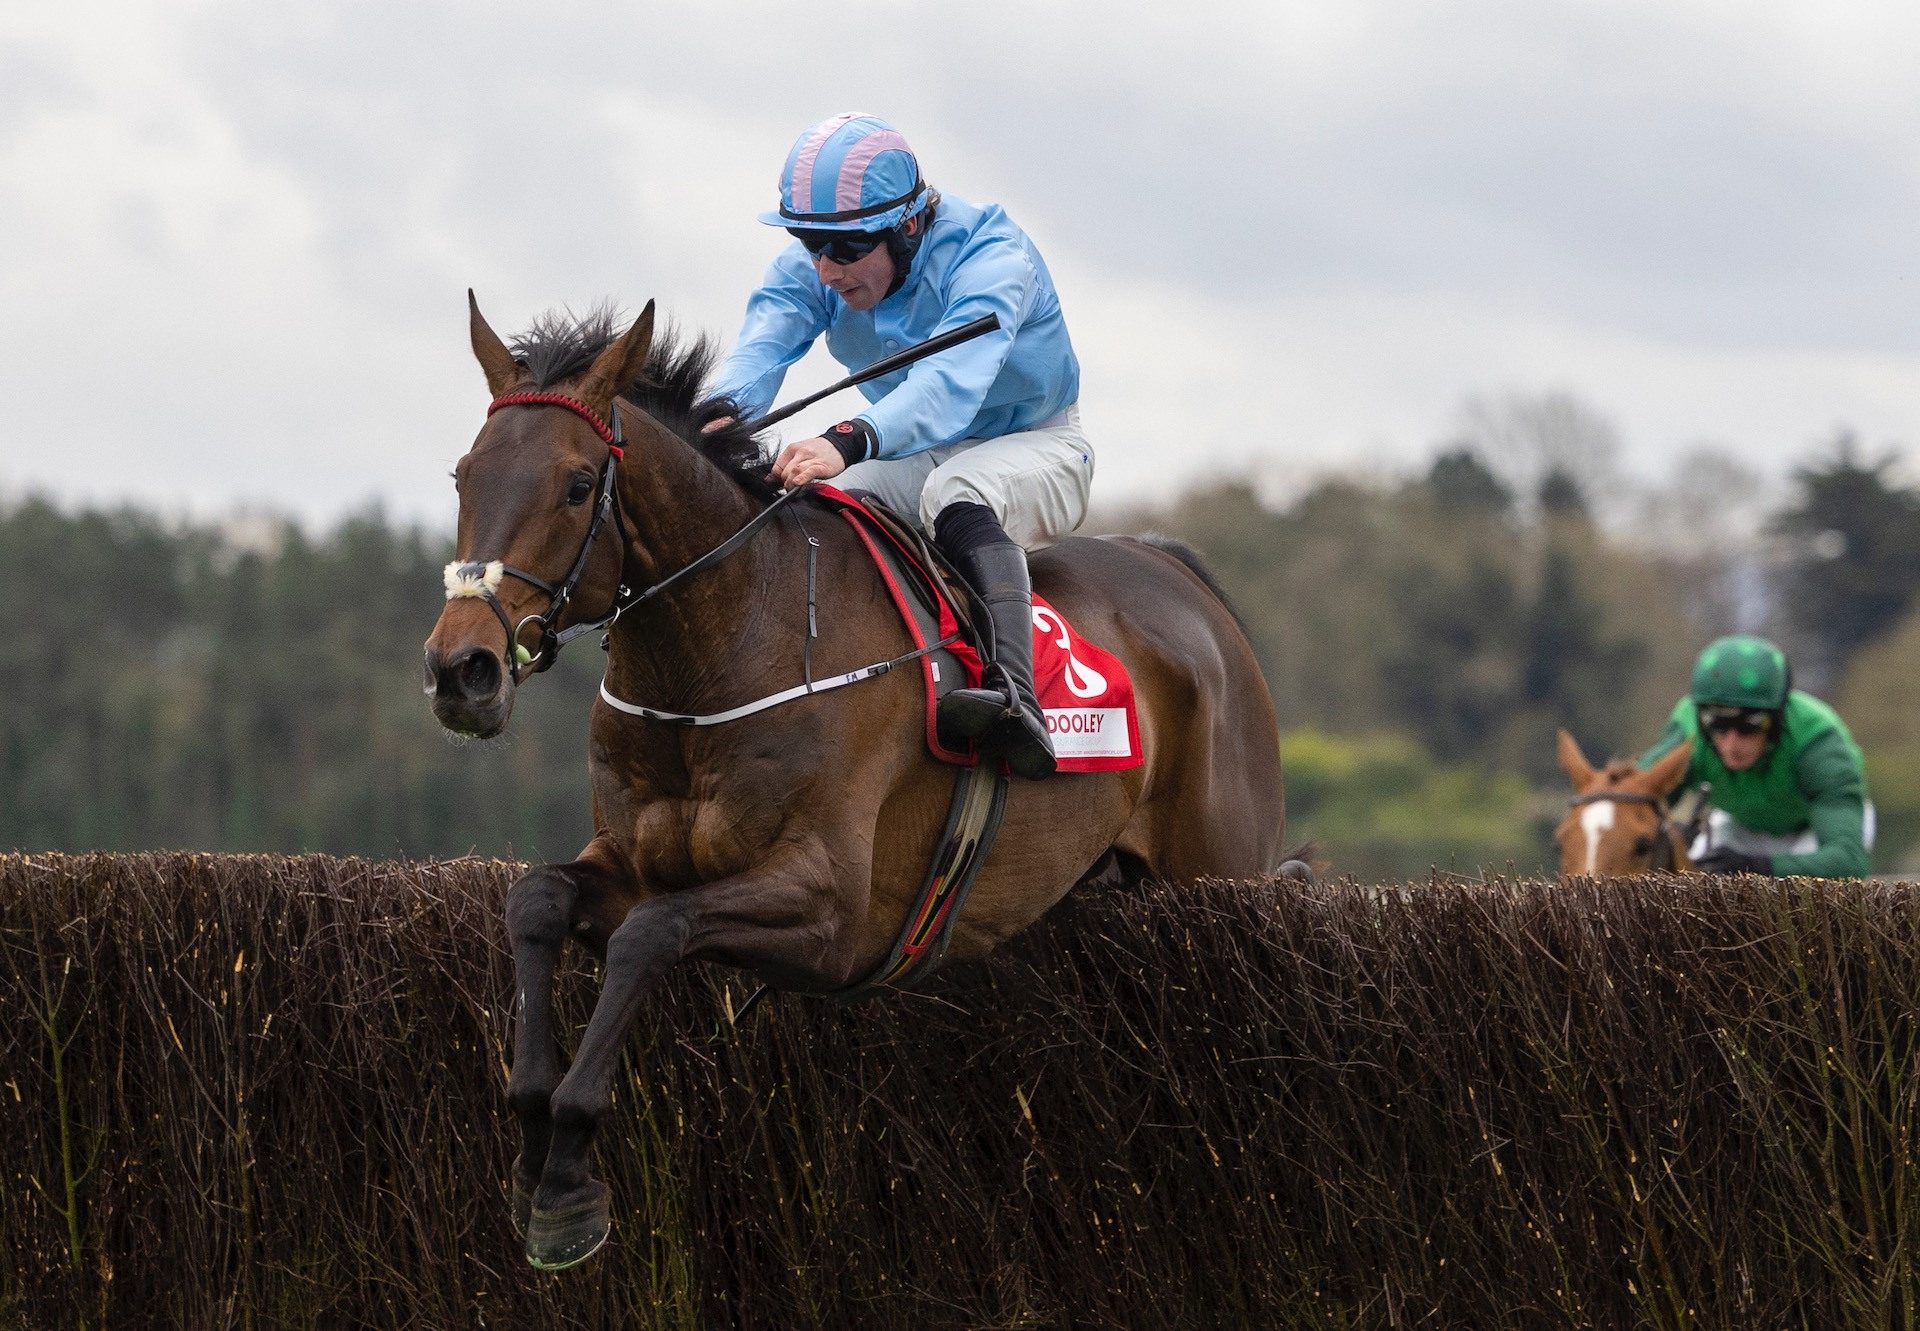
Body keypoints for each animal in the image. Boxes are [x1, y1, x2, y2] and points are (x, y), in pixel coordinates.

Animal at [420, 297, 1290, 1267]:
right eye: (464, 475)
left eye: (576, 485)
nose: (463, 670)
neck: (721, 651)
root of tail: (1181, 576)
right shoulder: (629, 856)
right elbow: (535, 900)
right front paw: (535, 1144)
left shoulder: (833, 908)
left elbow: (651, 934)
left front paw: (569, 1172)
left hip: (1219, 870)